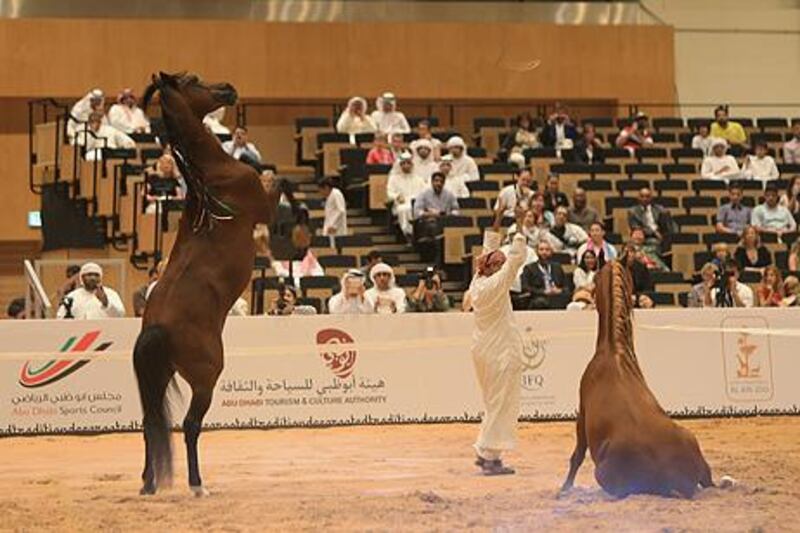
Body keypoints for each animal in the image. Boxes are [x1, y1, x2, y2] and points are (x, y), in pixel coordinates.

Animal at [132, 70, 282, 494]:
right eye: (193, 80)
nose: (228, 89)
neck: (213, 176)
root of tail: (157, 327)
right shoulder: (264, 205)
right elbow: (278, 183)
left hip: (161, 377)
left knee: (151, 424)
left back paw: (149, 483)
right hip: (204, 381)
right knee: (189, 426)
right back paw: (198, 484)